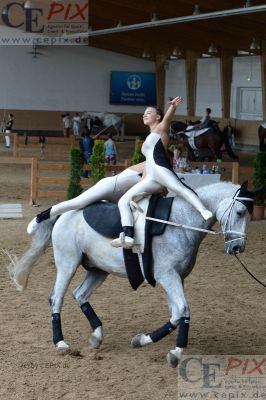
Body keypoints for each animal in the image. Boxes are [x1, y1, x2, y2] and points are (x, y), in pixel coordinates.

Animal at [7, 183, 255, 368]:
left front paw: (143, 340)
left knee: (80, 295)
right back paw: (60, 343)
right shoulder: (168, 276)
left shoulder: (176, 278)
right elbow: (183, 310)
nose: (237, 248)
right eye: (240, 212)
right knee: (56, 298)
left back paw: (97, 335)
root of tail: (64, 215)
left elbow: (176, 314)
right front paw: (174, 353)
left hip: (98, 269)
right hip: (68, 263)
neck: (181, 221)